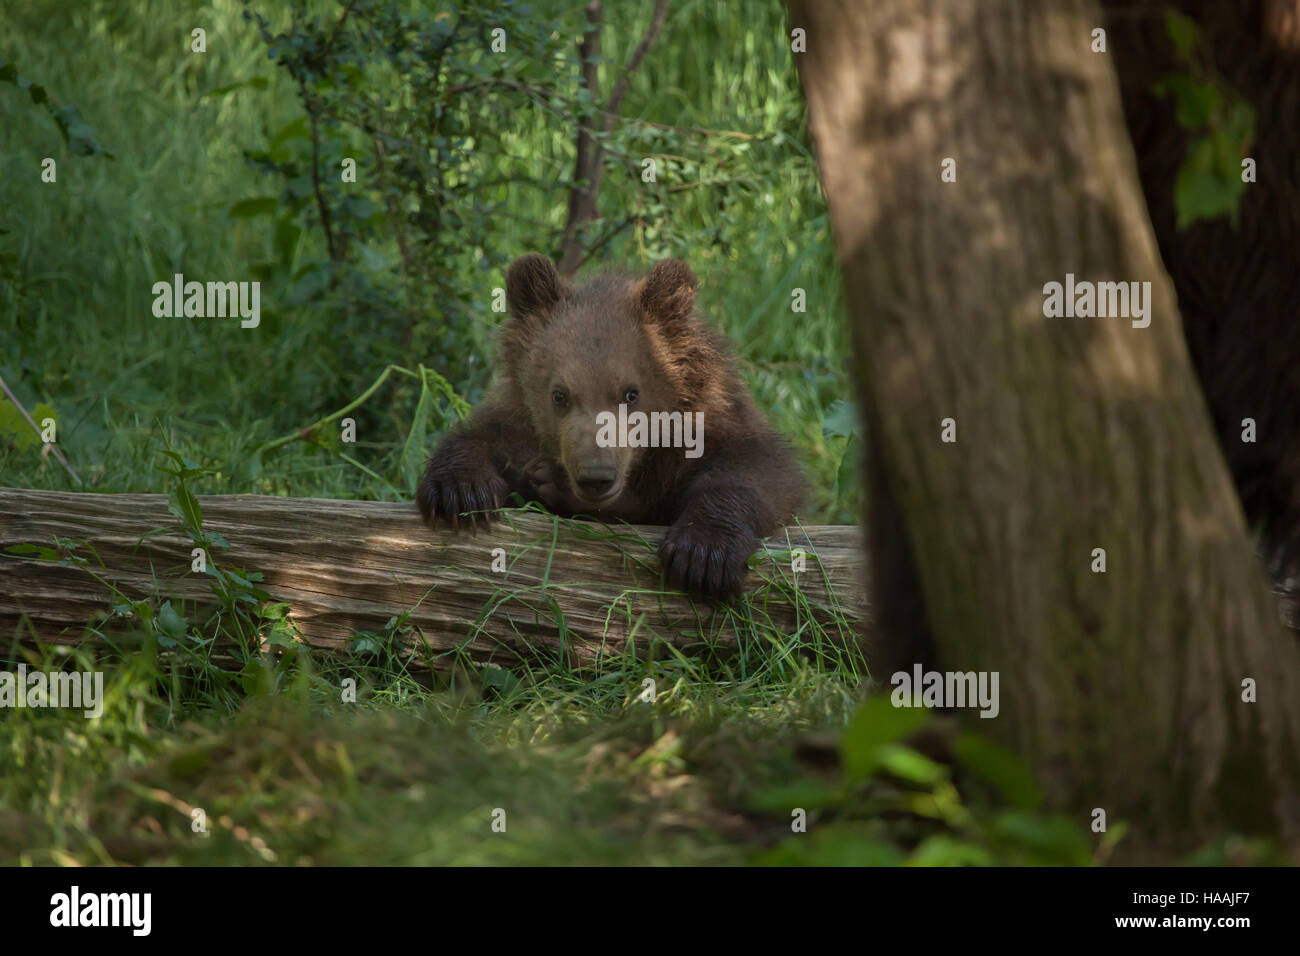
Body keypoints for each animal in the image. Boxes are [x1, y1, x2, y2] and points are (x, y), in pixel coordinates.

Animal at [416, 254, 809, 599]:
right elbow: (483, 437)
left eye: (631, 392)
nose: (595, 476)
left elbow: (760, 469)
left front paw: (703, 554)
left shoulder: (713, 423)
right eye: (559, 394)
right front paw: (460, 490)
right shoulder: (520, 420)